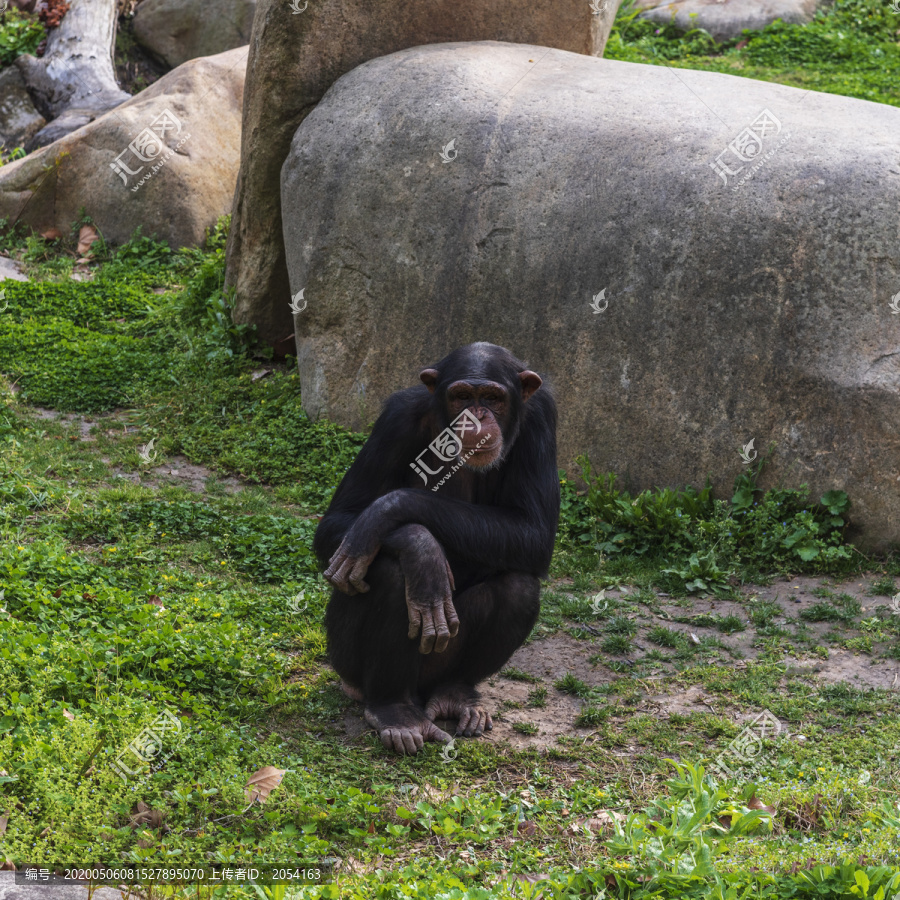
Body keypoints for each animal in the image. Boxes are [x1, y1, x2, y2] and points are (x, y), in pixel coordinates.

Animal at [312, 342, 560, 756]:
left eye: (492, 398)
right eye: (460, 396)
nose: (476, 417)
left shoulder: (543, 418)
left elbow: (534, 532)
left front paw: (389, 508)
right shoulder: (396, 418)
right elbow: (338, 522)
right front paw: (420, 548)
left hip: (436, 669)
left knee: (518, 585)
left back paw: (455, 694)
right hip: (346, 663)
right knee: (390, 571)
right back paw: (395, 712)